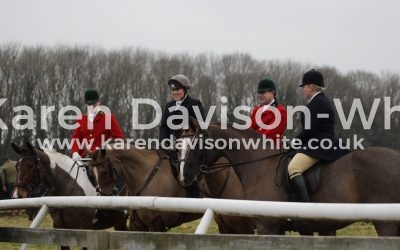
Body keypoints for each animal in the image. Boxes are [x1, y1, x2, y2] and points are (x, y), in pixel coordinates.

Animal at [178, 118, 400, 235]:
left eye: (195, 144)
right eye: (178, 146)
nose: (184, 176)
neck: (259, 164)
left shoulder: (267, 226)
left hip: (387, 224)